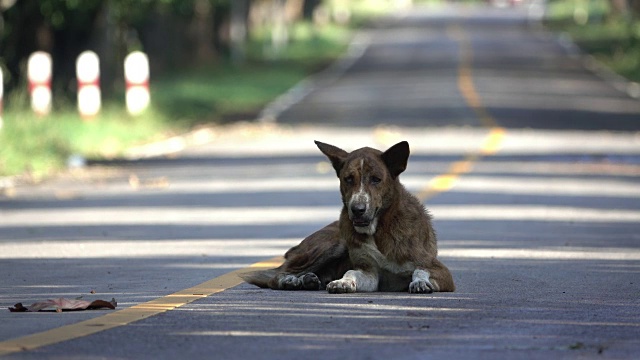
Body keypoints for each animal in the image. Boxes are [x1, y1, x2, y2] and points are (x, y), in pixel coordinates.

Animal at [241, 140, 456, 292]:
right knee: (276, 275)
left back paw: (307, 280)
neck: (379, 230)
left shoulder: (439, 270)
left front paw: (420, 282)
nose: (357, 209)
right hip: (333, 244)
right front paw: (343, 282)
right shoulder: (368, 271)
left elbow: (420, 270)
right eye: (348, 179)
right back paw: (292, 280)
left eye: (376, 179)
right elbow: (351, 271)